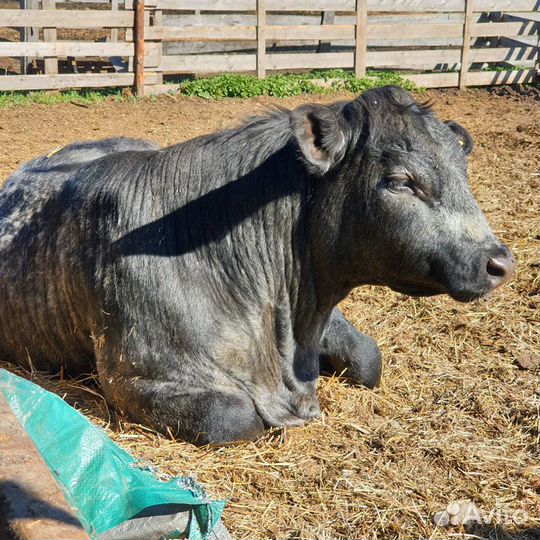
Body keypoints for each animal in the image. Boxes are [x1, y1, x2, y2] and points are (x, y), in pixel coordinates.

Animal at [0, 87, 516, 442]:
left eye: (463, 170)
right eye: (400, 181)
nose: (500, 262)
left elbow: (370, 358)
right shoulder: (131, 375)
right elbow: (234, 416)